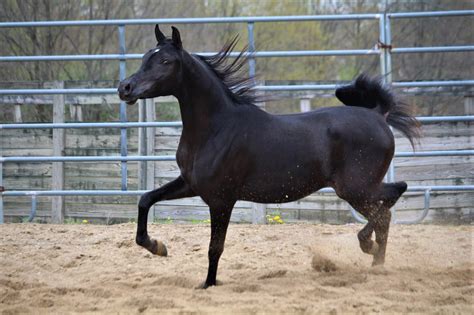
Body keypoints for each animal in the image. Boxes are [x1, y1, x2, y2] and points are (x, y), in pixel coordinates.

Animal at [116, 25, 420, 290]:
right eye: (145, 58)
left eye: (165, 60)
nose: (125, 88)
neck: (216, 127)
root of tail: (378, 115)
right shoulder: (191, 184)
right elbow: (145, 199)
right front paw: (157, 246)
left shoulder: (221, 199)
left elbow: (215, 247)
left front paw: (208, 283)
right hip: (361, 188)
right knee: (389, 205)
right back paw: (376, 263)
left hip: (355, 188)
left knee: (387, 206)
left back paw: (368, 247)